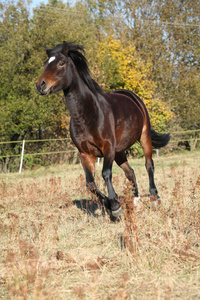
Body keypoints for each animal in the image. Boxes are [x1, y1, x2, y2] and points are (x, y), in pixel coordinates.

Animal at [35, 41, 170, 217]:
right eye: (45, 63)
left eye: (61, 63)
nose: (40, 85)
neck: (89, 114)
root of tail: (131, 96)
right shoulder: (85, 153)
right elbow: (90, 184)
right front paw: (111, 203)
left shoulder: (108, 148)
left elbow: (106, 173)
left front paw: (115, 206)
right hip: (119, 151)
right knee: (130, 172)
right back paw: (136, 201)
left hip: (143, 137)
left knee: (149, 165)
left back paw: (154, 198)